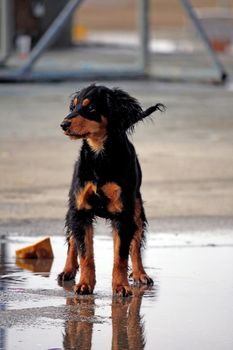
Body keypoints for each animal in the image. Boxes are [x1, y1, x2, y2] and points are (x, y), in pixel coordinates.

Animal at [58, 84, 164, 296]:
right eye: (73, 106)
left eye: (91, 108)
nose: (64, 124)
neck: (100, 156)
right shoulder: (80, 211)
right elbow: (85, 252)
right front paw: (84, 284)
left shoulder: (123, 214)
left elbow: (121, 255)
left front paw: (121, 286)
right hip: (73, 208)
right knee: (73, 241)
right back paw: (68, 270)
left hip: (136, 209)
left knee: (136, 245)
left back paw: (140, 274)